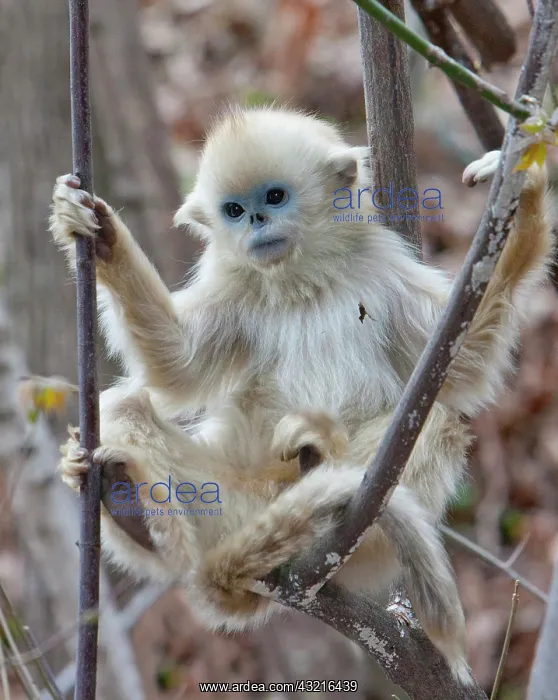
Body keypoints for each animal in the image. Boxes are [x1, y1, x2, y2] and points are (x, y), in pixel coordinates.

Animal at [49, 107, 553, 684]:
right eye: (234, 210)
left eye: (274, 197)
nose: (254, 222)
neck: (302, 280)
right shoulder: (235, 284)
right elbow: (176, 367)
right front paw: (100, 235)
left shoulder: (382, 267)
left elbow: (463, 367)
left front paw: (525, 198)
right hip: (228, 508)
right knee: (126, 408)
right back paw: (126, 500)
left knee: (438, 422)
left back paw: (321, 461)